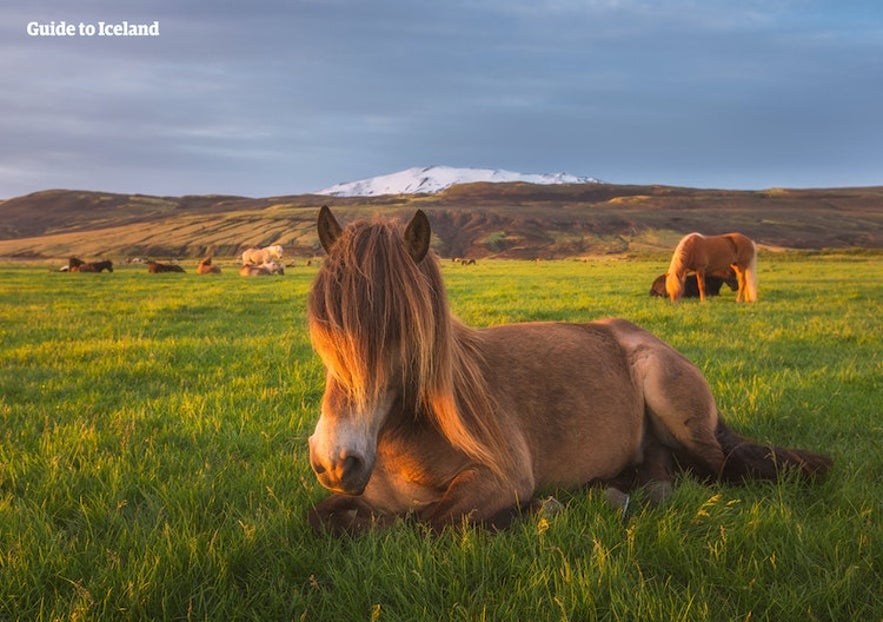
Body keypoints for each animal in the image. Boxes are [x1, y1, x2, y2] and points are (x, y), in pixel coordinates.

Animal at [308, 210, 832, 536]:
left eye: (404, 331)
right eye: (323, 329)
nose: (336, 461)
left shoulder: (499, 478)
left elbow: (428, 521)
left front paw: (540, 510)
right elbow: (328, 515)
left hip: (672, 403)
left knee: (720, 468)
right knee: (660, 472)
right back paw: (615, 491)